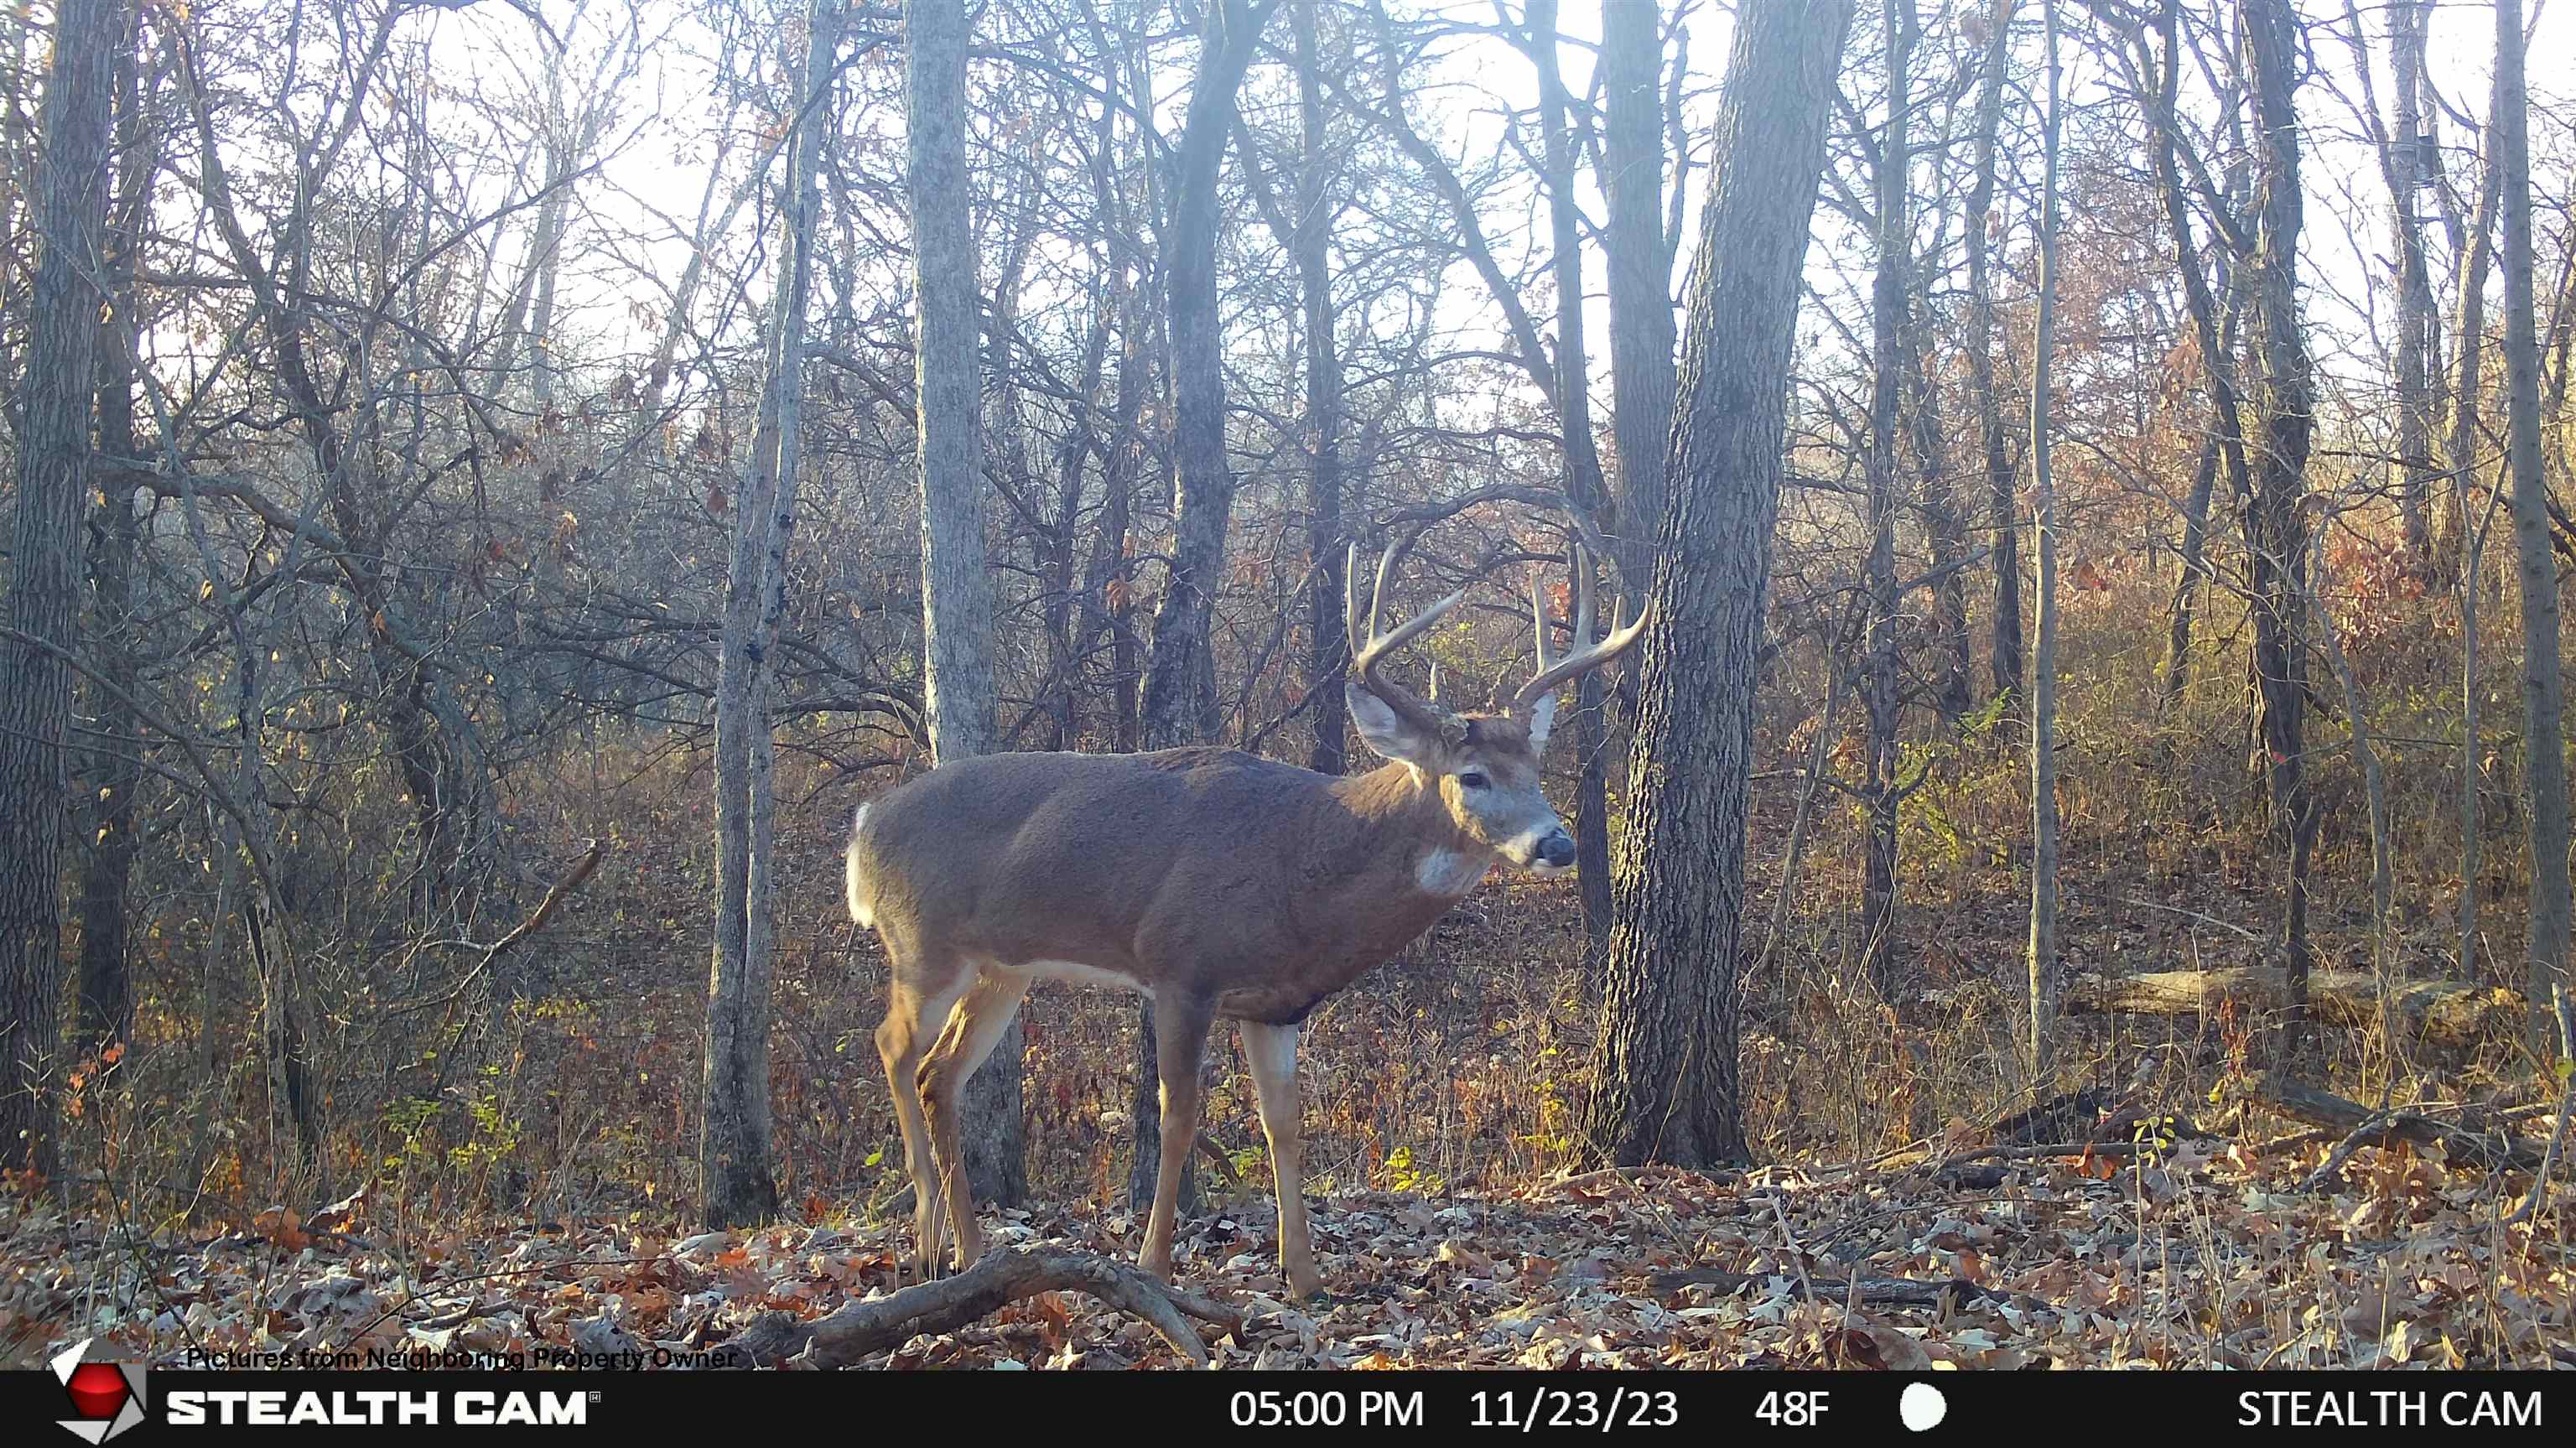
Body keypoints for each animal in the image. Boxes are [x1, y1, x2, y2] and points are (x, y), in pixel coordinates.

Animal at [844, 537, 1648, 1299]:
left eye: (1534, 771)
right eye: (1472, 776)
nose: (1558, 842)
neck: (1300, 869)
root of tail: (864, 822)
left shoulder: (1275, 1006)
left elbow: (1283, 1124)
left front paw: (1306, 1275)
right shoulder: (1180, 969)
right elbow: (1176, 1119)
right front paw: (1154, 1264)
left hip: (1003, 970)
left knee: (938, 1075)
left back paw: (970, 1250)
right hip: (924, 946)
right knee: (892, 1047)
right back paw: (927, 1238)